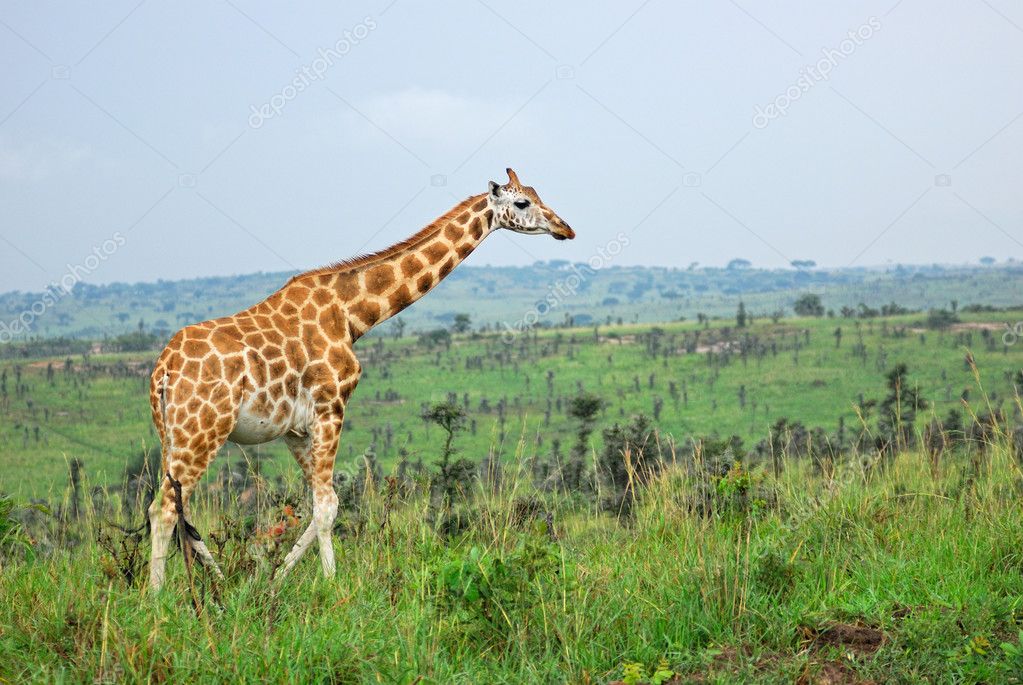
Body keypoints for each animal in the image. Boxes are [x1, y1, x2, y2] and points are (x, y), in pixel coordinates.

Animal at [146, 167, 576, 588]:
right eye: (522, 203)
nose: (565, 229)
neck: (352, 314)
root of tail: (163, 369)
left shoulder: (296, 429)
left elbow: (322, 502)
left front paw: (273, 580)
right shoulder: (331, 406)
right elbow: (327, 506)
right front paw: (333, 588)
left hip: (172, 433)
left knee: (179, 508)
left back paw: (215, 584)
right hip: (203, 429)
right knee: (162, 508)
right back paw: (157, 596)